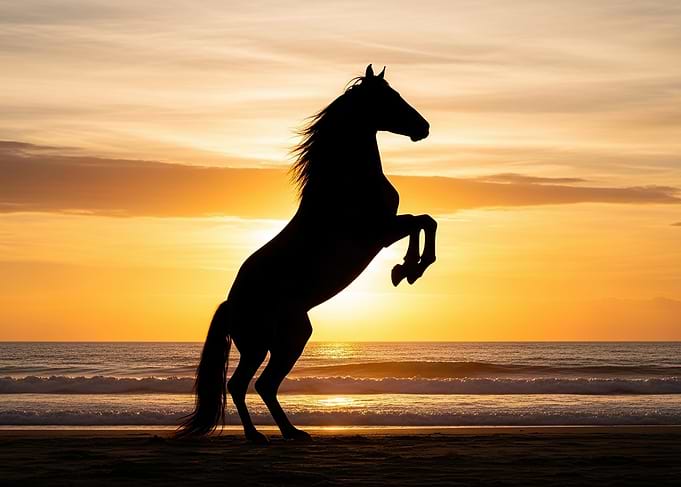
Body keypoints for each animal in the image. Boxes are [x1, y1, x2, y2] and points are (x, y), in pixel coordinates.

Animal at [177, 65, 437, 443]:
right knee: (244, 384)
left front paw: (405, 270)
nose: (424, 127)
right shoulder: (380, 232)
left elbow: (423, 222)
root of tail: (230, 304)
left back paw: (291, 432)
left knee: (263, 386)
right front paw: (410, 269)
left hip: (290, 337)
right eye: (389, 98)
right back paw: (260, 435)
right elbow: (423, 222)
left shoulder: (386, 230)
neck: (345, 183)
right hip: (263, 344)